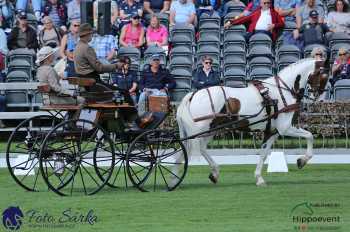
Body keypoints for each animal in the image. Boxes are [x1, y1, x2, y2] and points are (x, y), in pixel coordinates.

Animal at [176, 58, 326, 187]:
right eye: (324, 76)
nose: (318, 97)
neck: (282, 92)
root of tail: (193, 95)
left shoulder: (272, 132)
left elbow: (264, 154)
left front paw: (259, 178)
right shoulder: (286, 128)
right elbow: (309, 136)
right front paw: (302, 161)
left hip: (211, 130)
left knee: (196, 148)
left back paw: (211, 174)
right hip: (202, 130)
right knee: (192, 148)